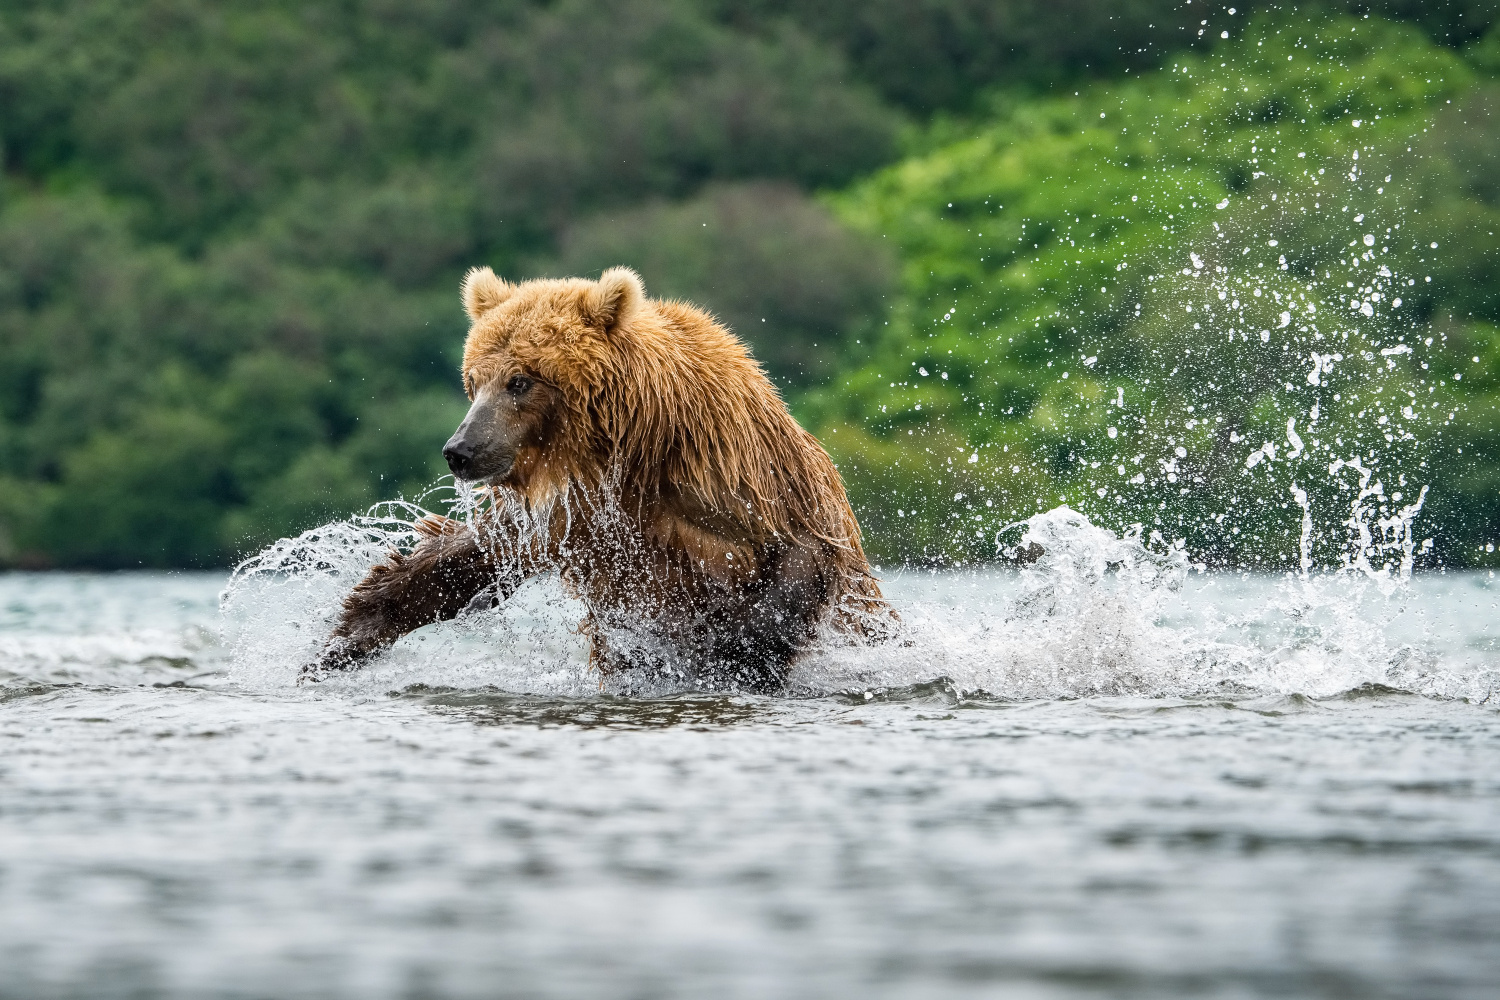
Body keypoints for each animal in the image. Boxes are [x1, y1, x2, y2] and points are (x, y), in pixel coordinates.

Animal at [304, 263, 888, 689]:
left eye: (520, 380)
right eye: (473, 380)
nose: (460, 451)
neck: (627, 451)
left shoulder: (732, 472)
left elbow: (797, 554)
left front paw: (733, 656)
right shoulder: (574, 514)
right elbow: (471, 554)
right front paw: (342, 640)